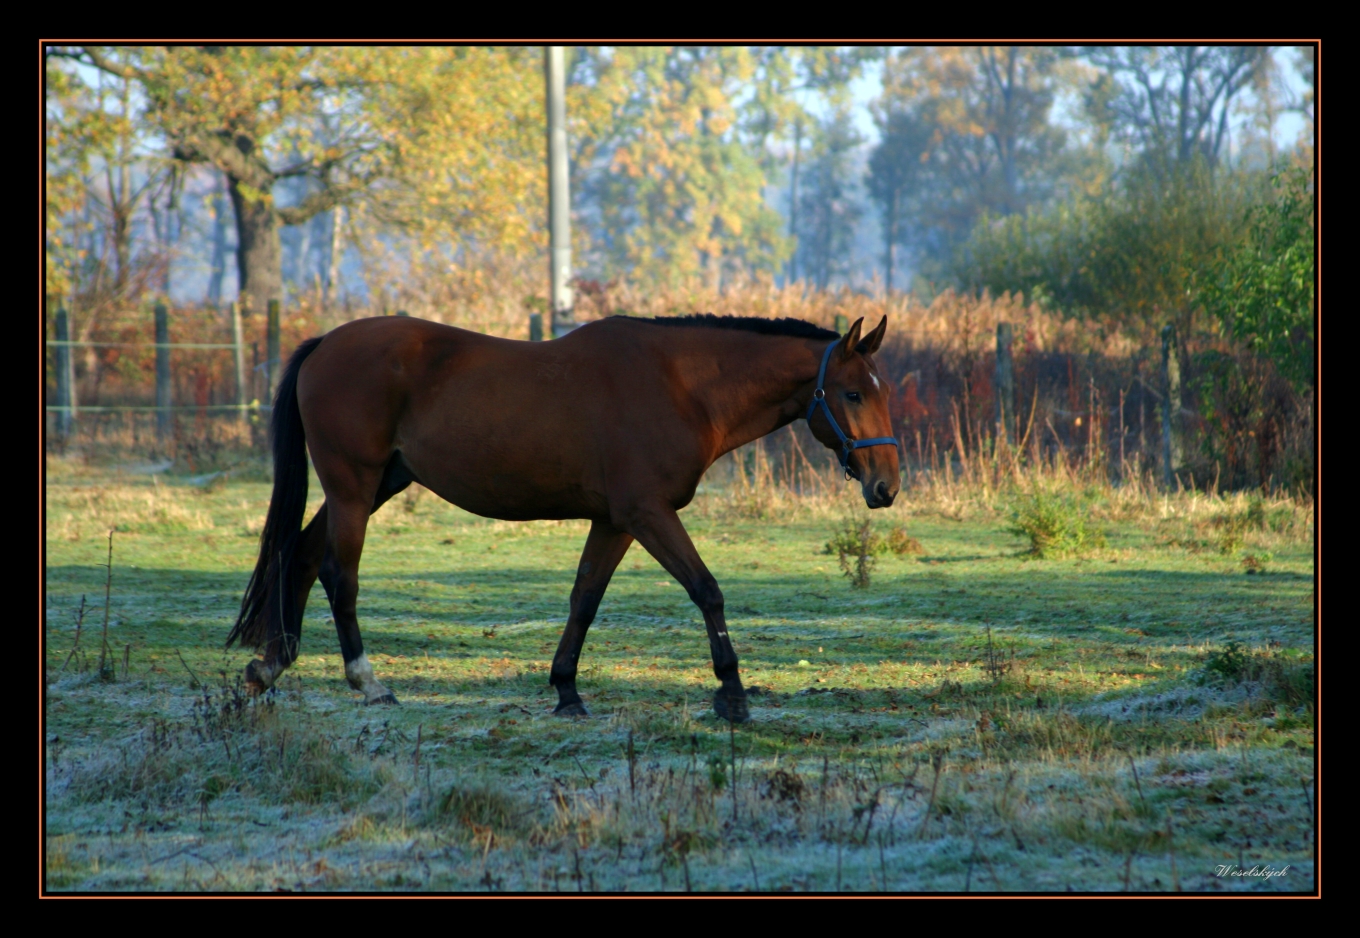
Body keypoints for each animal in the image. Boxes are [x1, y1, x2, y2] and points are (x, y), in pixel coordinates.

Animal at [228, 309, 897, 717]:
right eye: (852, 393)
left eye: (881, 390)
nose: (886, 486)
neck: (680, 385)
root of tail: (325, 344)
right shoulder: (648, 514)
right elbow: (707, 590)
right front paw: (731, 693)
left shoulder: (615, 522)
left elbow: (584, 598)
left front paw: (566, 690)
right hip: (353, 487)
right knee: (338, 574)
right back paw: (368, 682)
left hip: (376, 485)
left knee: (302, 554)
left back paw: (271, 665)